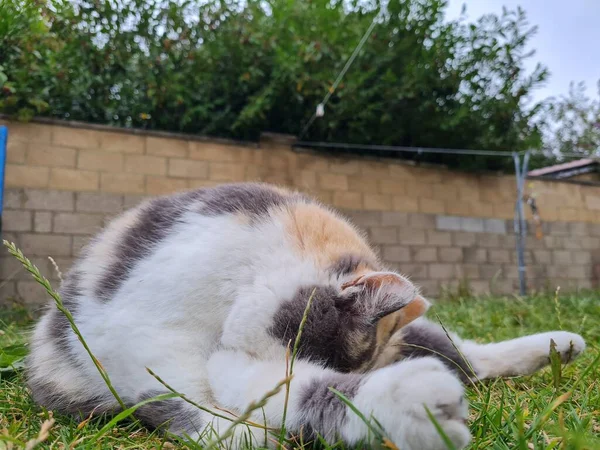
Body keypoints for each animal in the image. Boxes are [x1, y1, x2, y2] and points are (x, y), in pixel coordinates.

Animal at [28, 181, 584, 448]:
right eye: (313, 348)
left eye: (326, 357)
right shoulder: (140, 338)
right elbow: (178, 395)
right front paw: (237, 435)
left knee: (465, 354)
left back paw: (558, 345)